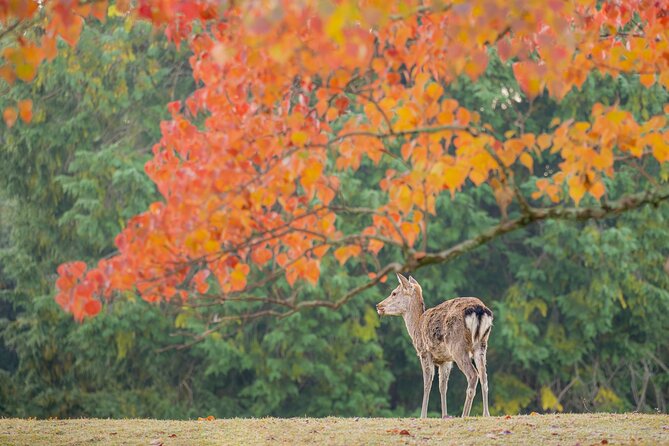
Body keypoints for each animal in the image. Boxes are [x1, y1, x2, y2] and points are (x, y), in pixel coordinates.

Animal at [376, 272, 490, 418]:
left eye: (394, 293)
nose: (378, 306)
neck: (416, 327)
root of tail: (479, 310)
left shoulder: (424, 352)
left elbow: (427, 383)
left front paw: (422, 415)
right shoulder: (445, 360)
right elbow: (442, 386)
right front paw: (444, 415)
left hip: (457, 346)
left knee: (473, 375)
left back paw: (464, 415)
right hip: (481, 345)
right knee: (484, 376)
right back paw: (486, 414)